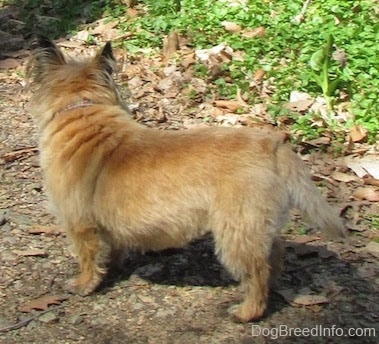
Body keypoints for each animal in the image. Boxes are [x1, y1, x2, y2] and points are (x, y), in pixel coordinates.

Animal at [26, 37, 346, 322]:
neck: (83, 111)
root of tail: (272, 144)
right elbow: (114, 247)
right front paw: (113, 268)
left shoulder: (78, 223)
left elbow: (87, 257)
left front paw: (85, 284)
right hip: (257, 227)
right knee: (274, 255)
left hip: (235, 233)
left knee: (256, 272)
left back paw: (247, 311)